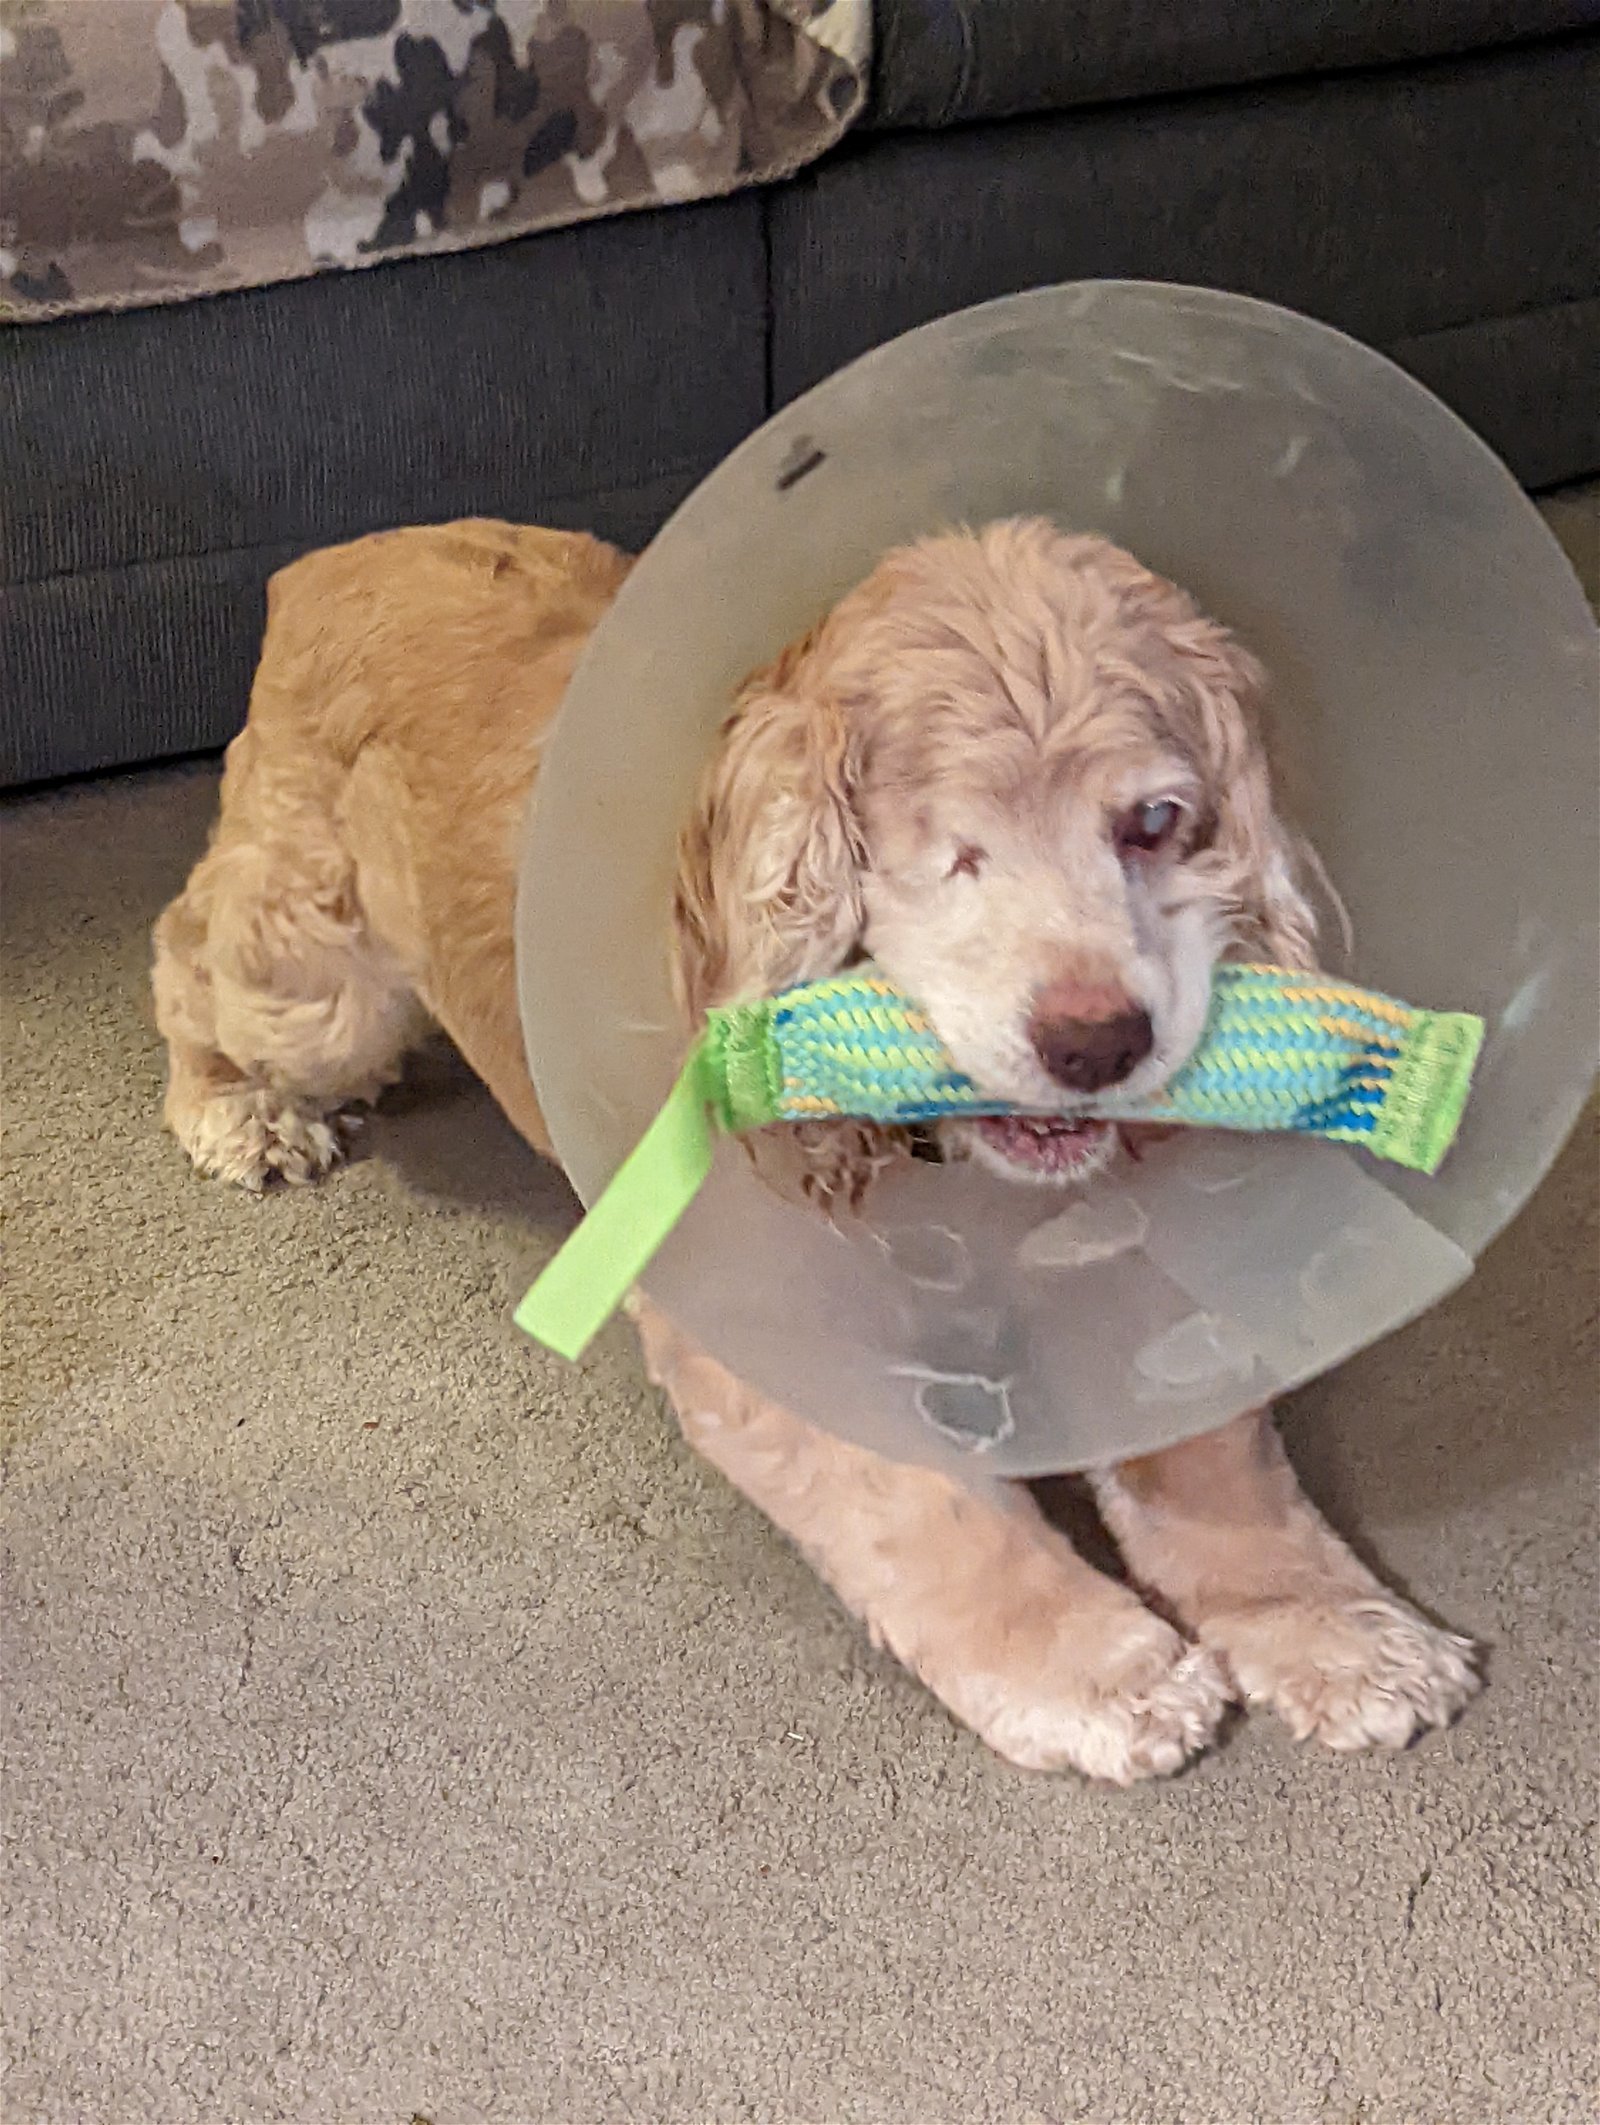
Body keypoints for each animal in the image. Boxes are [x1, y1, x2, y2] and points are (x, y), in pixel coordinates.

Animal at [156, 514, 1478, 1776]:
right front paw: (1096, 1674)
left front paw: (1339, 1633)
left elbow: (1218, 1465)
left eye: (1153, 823)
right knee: (186, 948)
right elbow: (930, 1510)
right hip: (318, 983)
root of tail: (332, 559)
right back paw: (238, 1111)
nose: (1100, 1040)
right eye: (947, 851)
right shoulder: (776, 1329)